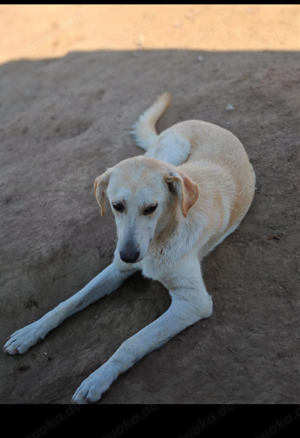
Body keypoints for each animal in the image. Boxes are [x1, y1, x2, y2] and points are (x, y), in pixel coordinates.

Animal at [2, 93, 255, 404]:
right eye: (116, 205)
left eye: (151, 208)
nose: (129, 255)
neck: (159, 239)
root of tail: (205, 122)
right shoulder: (116, 270)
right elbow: (68, 303)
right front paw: (30, 332)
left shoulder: (193, 301)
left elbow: (132, 343)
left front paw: (97, 379)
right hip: (171, 153)